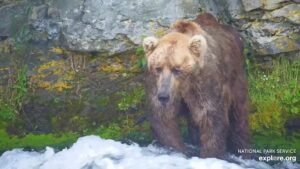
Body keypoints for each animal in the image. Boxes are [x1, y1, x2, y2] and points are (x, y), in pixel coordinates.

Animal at [143, 12, 251, 158]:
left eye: (177, 69)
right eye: (158, 68)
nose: (163, 96)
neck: (184, 83)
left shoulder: (205, 82)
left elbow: (211, 116)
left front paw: (211, 153)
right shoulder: (156, 84)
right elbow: (163, 117)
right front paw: (178, 150)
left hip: (236, 77)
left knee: (239, 115)